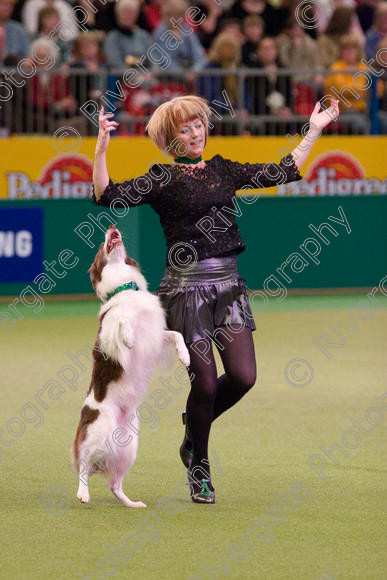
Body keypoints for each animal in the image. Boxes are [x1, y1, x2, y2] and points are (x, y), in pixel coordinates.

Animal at [71, 227, 191, 508]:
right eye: (100, 246)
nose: (113, 228)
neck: (124, 288)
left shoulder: (155, 336)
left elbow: (177, 334)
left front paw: (186, 356)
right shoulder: (105, 340)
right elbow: (121, 320)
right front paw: (128, 337)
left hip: (128, 447)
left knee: (114, 484)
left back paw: (131, 503)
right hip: (97, 431)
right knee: (83, 464)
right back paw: (83, 493)